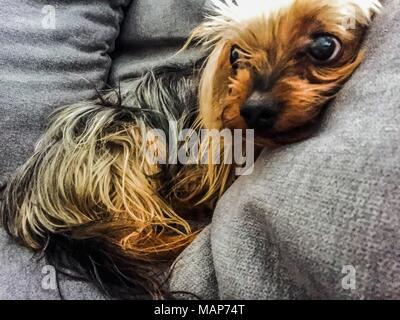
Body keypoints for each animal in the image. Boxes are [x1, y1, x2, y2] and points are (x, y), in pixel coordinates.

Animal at [0, 0, 382, 300]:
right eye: (236, 54)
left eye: (324, 46)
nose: (254, 111)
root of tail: (23, 200)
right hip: (122, 136)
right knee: (132, 233)